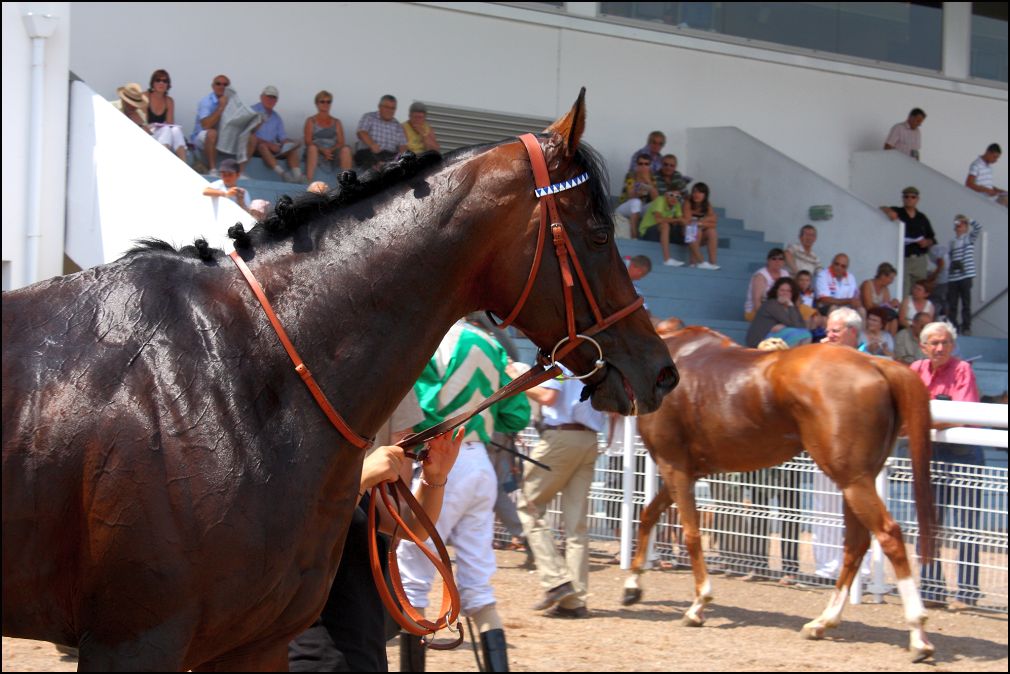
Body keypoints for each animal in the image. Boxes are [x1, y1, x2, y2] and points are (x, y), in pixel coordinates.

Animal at [622, 327, 937, 662]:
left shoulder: (674, 466)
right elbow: (648, 515)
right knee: (856, 543)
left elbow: (691, 533)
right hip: (856, 480)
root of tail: (877, 363)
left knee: (888, 535)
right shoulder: (684, 471)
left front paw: (698, 605)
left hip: (853, 480)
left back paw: (918, 635)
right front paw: (632, 586)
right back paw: (822, 622)